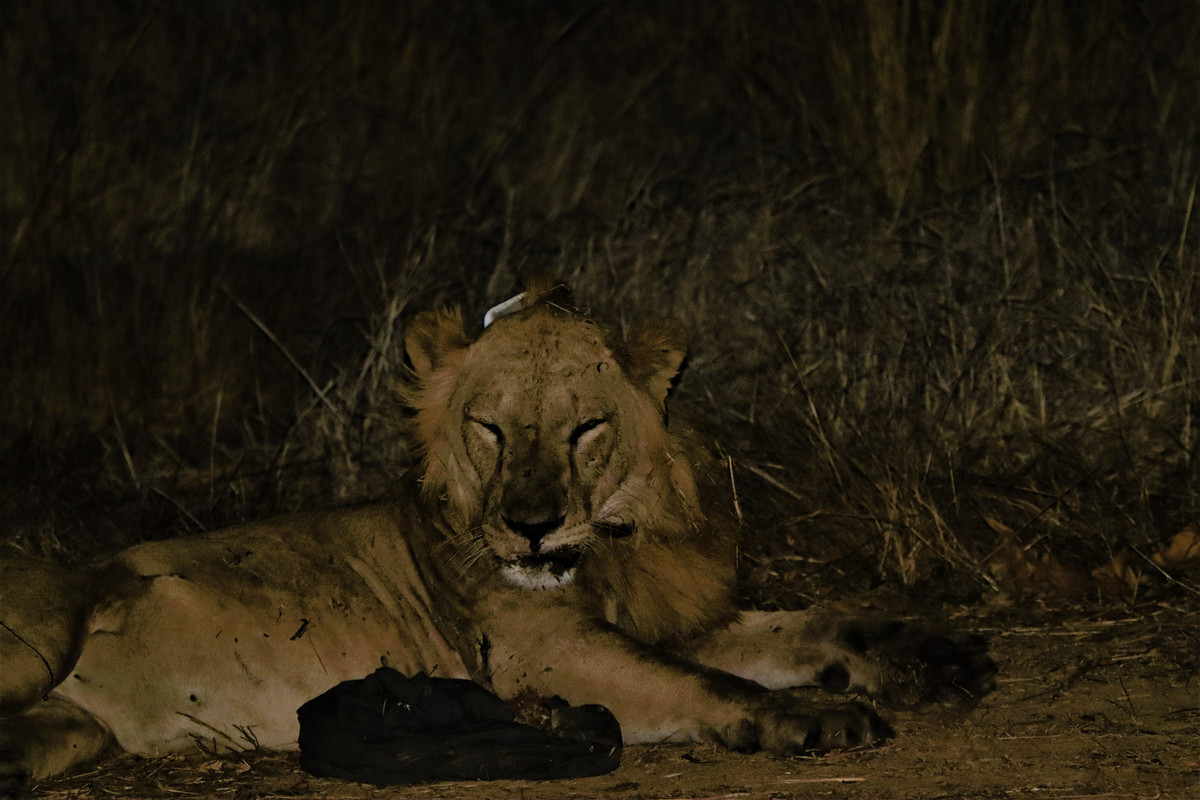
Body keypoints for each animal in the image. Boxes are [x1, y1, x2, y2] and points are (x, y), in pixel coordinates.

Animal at [0, 284, 995, 793]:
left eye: (584, 429)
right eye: (489, 429)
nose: (532, 525)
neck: (611, 550)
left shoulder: (678, 616)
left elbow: (815, 623)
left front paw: (937, 655)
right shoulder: (544, 657)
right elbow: (702, 683)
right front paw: (814, 718)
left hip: (68, 730)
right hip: (41, 634)